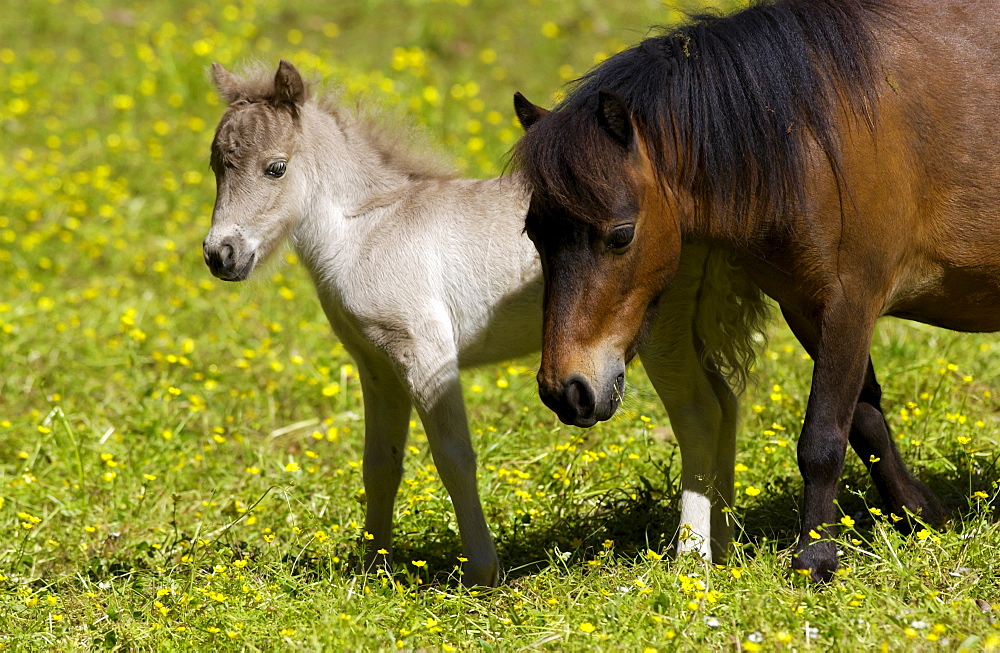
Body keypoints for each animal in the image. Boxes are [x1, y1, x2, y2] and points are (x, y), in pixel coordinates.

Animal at [205, 61, 764, 584]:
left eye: (276, 168)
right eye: (215, 165)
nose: (220, 254)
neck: (369, 231)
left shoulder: (425, 355)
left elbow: (453, 456)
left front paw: (480, 571)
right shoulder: (376, 366)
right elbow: (380, 464)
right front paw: (371, 568)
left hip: (658, 327)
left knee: (698, 412)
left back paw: (691, 557)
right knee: (726, 404)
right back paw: (725, 545)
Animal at [512, 0, 996, 580]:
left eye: (621, 235)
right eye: (534, 233)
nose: (566, 391)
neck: (812, 134)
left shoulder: (851, 302)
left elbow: (823, 437)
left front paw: (815, 555)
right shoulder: (807, 308)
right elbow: (864, 420)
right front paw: (917, 515)